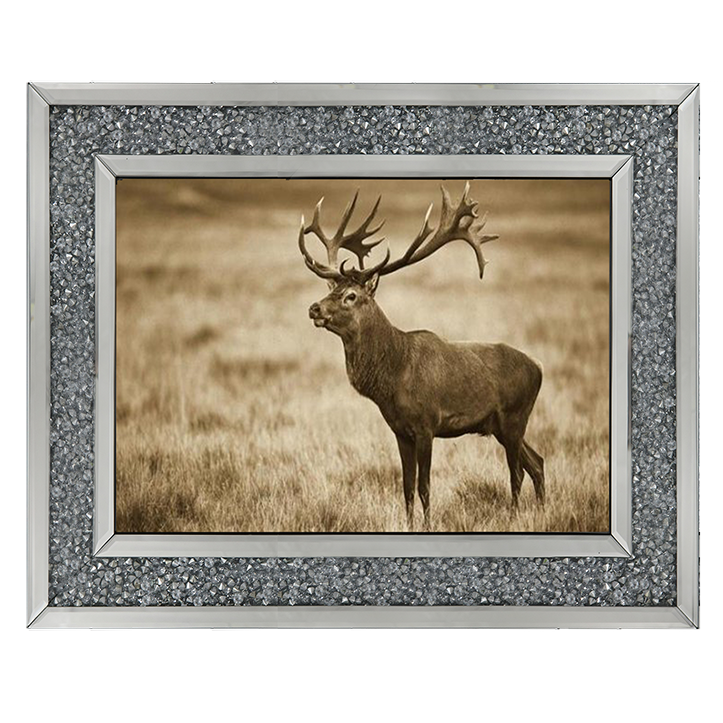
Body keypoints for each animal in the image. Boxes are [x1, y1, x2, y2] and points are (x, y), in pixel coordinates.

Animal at [299, 183, 545, 530]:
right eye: (330, 289)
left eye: (351, 296)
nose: (314, 308)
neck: (392, 378)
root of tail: (539, 368)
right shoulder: (400, 431)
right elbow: (406, 486)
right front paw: (409, 524)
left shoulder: (427, 424)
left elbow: (425, 486)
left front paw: (427, 526)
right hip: (501, 425)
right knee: (537, 462)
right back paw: (542, 511)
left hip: (514, 416)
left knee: (518, 472)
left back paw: (513, 517)